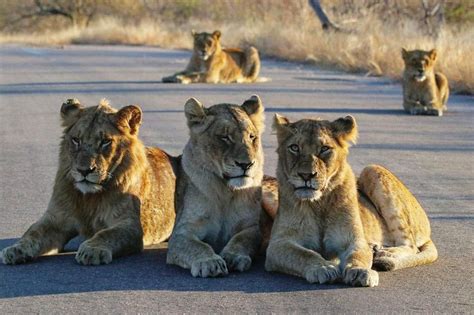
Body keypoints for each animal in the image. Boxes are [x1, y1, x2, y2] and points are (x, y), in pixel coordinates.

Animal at [0, 99, 177, 266]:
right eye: (76, 140)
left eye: (105, 141)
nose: (84, 171)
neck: (89, 198)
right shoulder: (56, 220)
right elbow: (32, 232)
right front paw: (14, 249)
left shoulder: (130, 225)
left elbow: (107, 233)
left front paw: (92, 250)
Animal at [167, 95, 272, 278]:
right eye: (225, 137)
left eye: (252, 137)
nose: (246, 164)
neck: (226, 191)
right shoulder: (182, 232)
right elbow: (198, 246)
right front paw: (210, 262)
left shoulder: (251, 227)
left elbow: (242, 240)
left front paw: (232, 257)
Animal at [264, 115, 438, 288]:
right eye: (294, 148)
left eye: (324, 148)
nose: (306, 175)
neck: (318, 203)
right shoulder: (278, 245)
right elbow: (304, 254)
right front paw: (324, 267)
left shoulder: (354, 240)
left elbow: (358, 255)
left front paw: (360, 271)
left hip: (372, 169)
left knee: (411, 246)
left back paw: (383, 253)